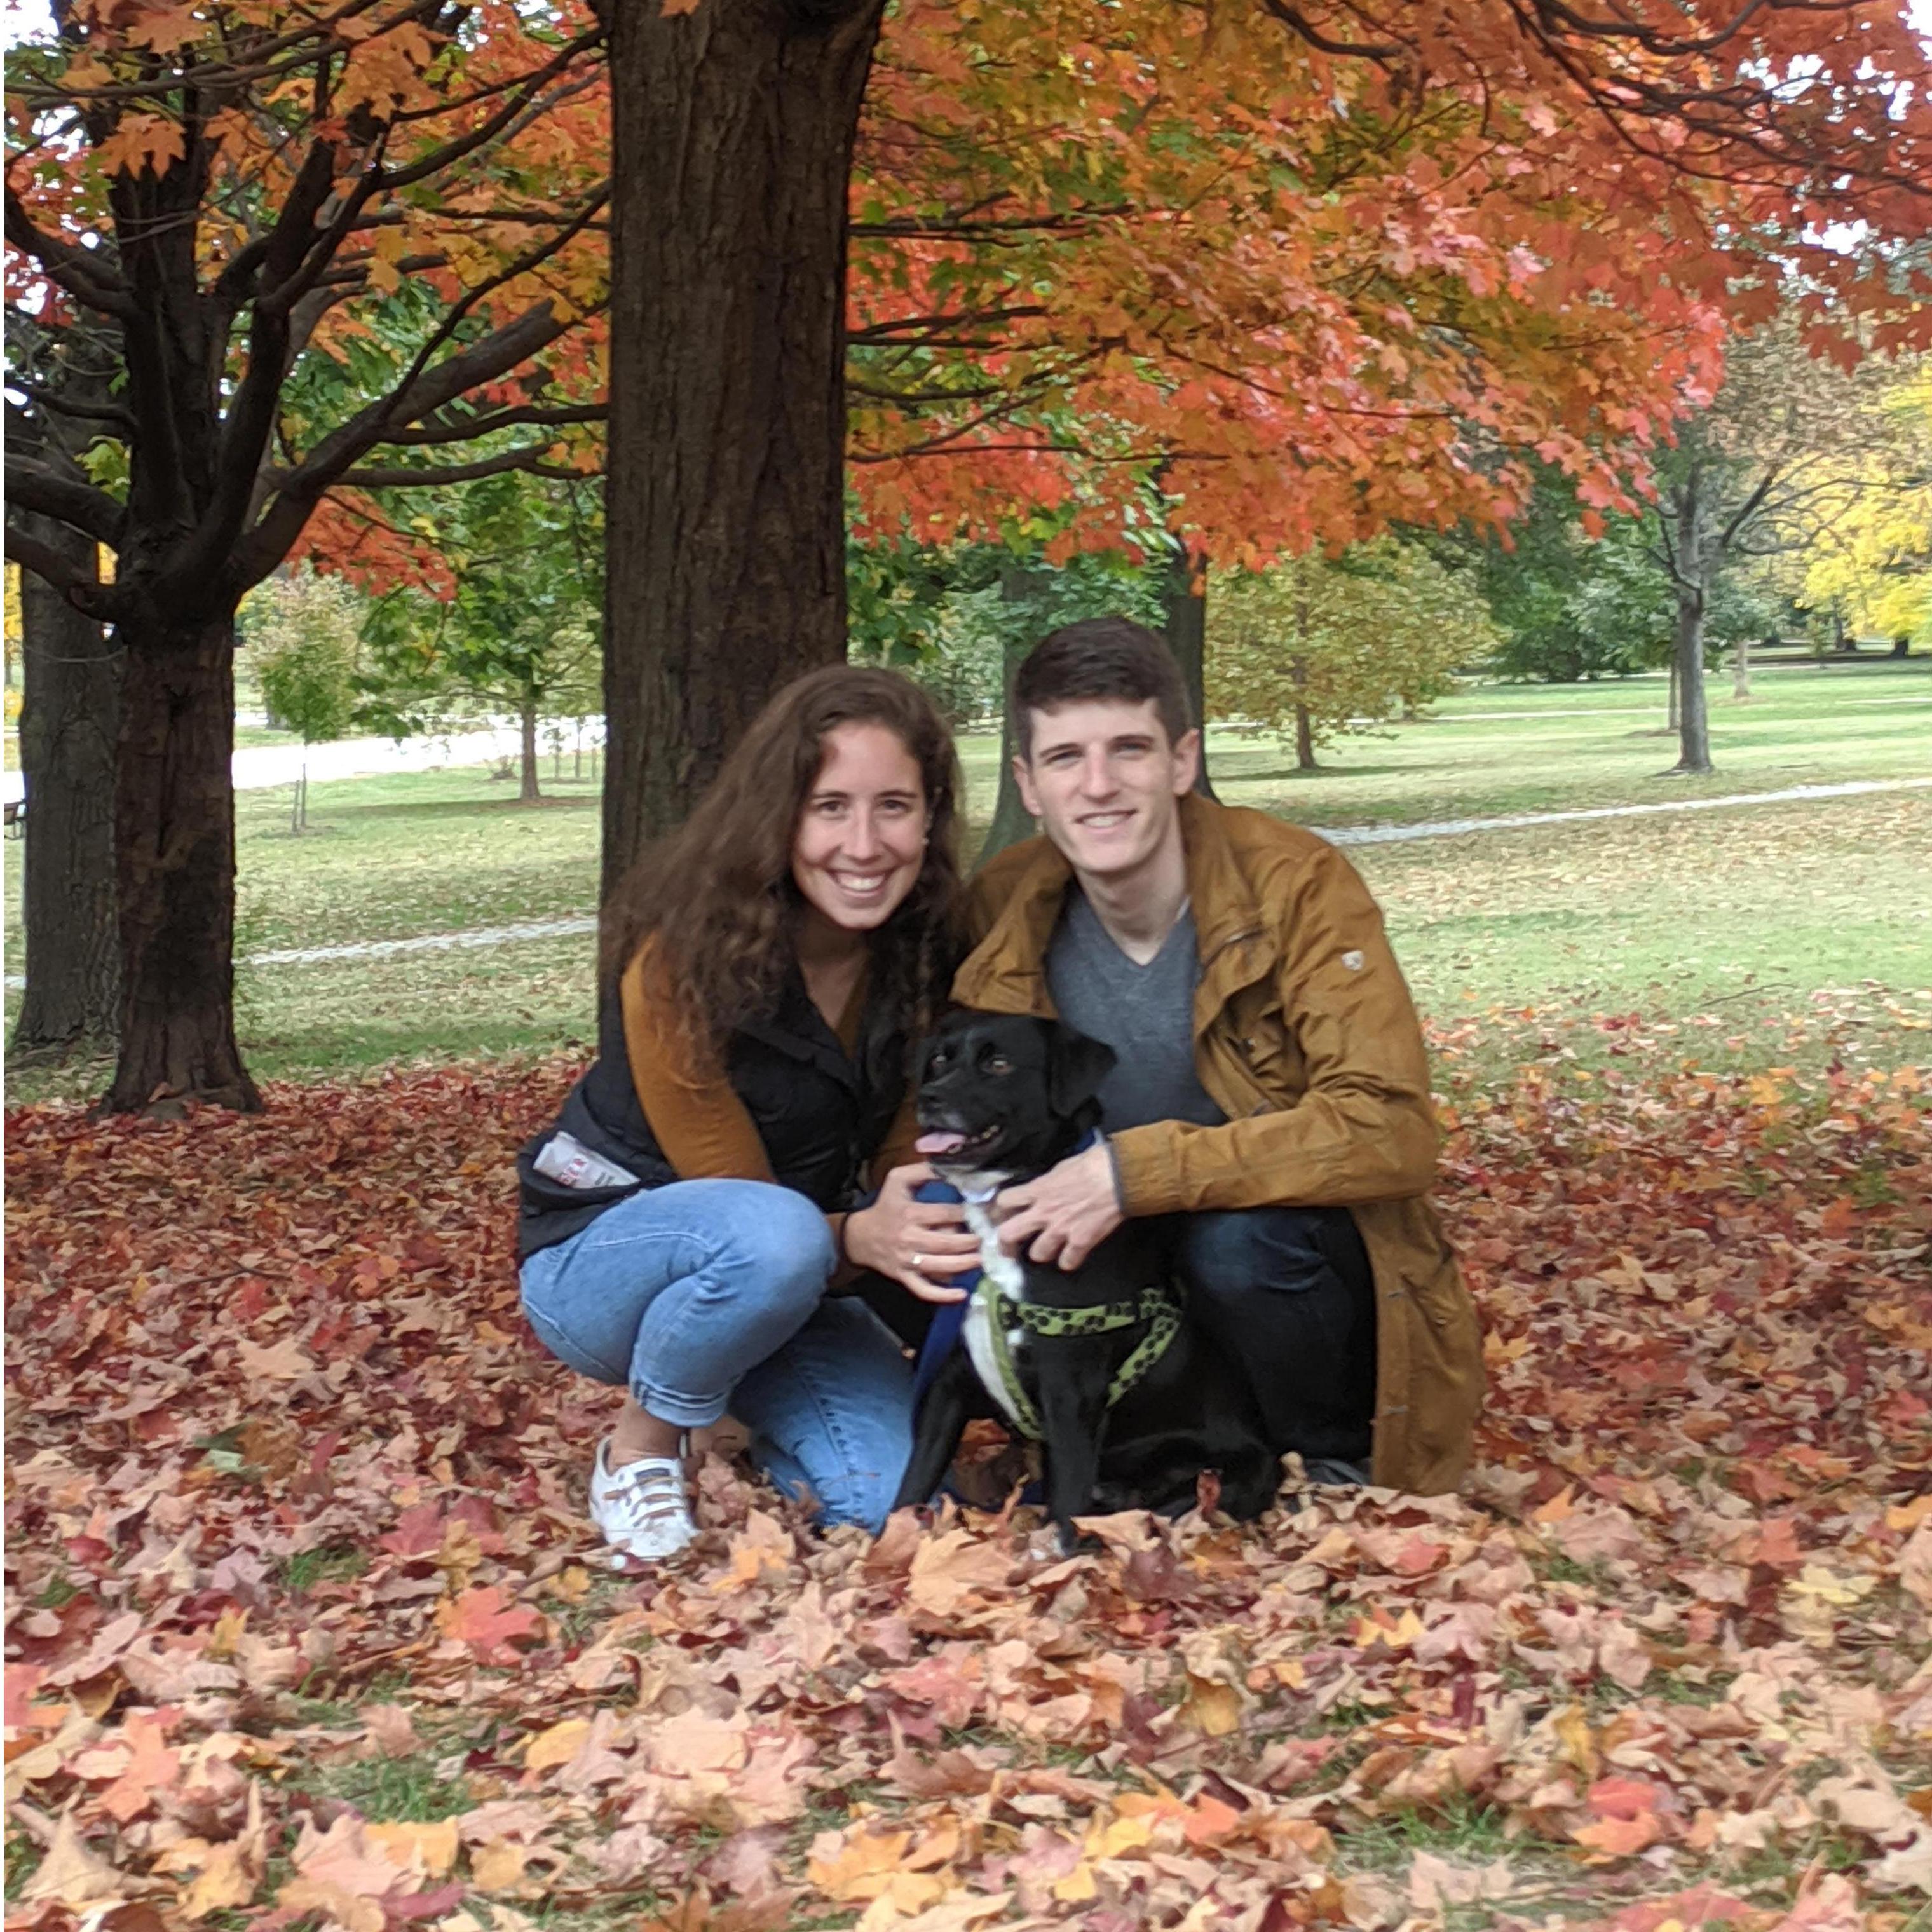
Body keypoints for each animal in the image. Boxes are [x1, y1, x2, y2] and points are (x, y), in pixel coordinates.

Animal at [892, 1012, 1282, 1553]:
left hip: (1225, 1474)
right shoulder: (952, 1380)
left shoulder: (1070, 1391)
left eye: (999, 1064)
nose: (928, 1097)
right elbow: (914, 1480)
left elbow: (1068, 1497)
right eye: (939, 1061)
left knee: (1173, 1510)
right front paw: (885, 1544)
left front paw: (1062, 1559)